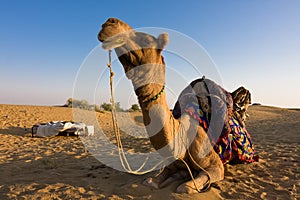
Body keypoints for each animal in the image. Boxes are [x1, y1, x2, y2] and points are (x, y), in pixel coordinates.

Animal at [97, 18, 254, 194]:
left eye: (146, 39)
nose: (109, 23)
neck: (183, 136)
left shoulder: (216, 166)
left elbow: (184, 187)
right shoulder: (172, 165)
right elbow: (151, 181)